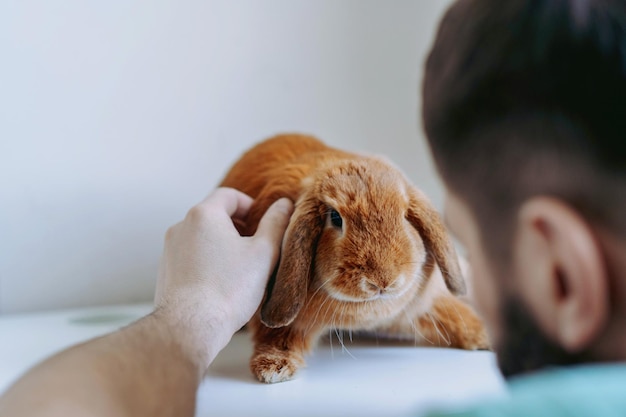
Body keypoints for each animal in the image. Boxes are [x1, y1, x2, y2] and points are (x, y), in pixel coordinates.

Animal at [219, 134, 488, 384]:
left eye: (404, 217)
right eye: (335, 218)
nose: (383, 281)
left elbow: (453, 314)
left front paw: (484, 336)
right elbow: (276, 335)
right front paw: (274, 367)